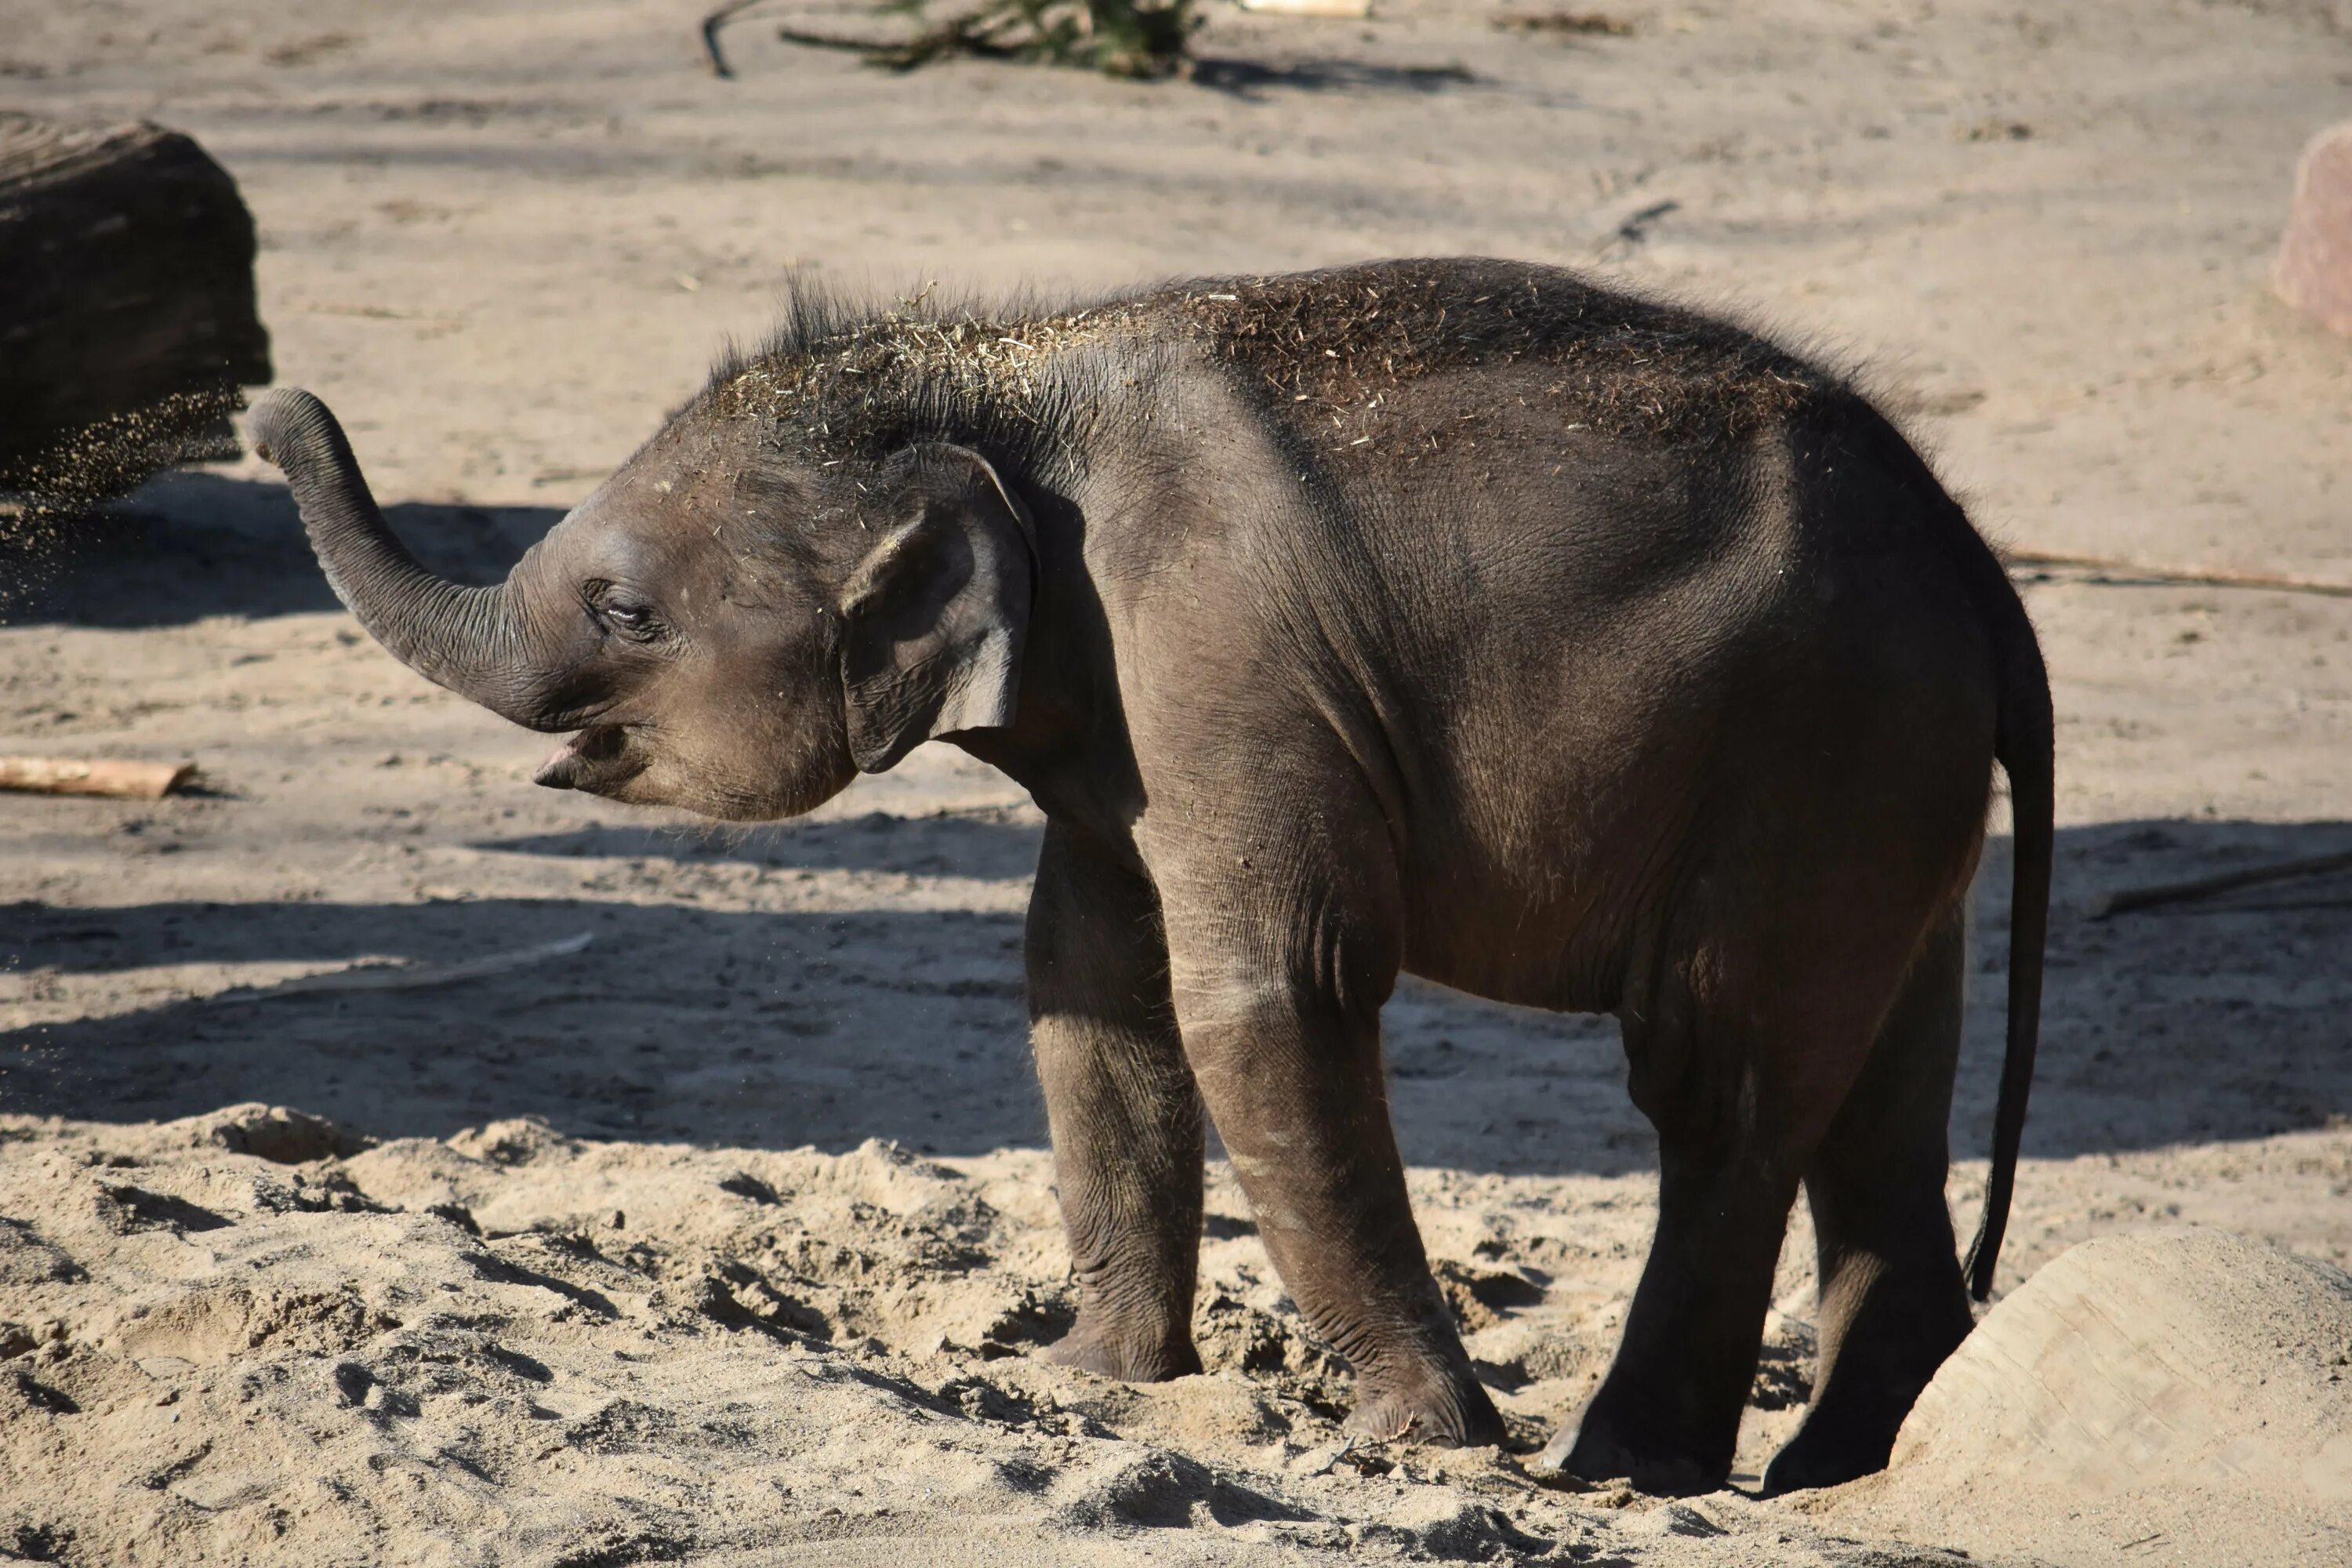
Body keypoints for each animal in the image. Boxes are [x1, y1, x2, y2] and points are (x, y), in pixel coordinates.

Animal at [252, 263, 2042, 1504]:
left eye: (624, 613)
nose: (263, 409)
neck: (1007, 376)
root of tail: (1976, 557)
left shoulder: (1223, 651)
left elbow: (1267, 994)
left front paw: (1419, 1444)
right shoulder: (1121, 711)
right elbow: (1087, 989)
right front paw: (1096, 1384)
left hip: (1813, 750)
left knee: (1716, 1083)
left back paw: (1625, 1469)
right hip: (1889, 783)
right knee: (1884, 1089)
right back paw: (1839, 1466)